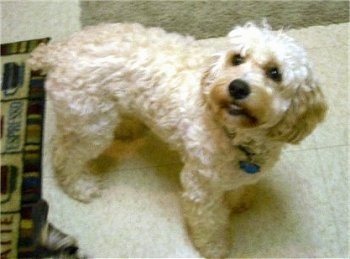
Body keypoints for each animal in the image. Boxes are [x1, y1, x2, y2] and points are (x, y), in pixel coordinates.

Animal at [28, 21, 326, 258]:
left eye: (274, 73)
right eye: (237, 59)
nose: (237, 87)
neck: (233, 134)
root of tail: (61, 49)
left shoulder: (240, 173)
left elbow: (238, 188)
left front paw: (238, 201)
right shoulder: (201, 188)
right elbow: (209, 222)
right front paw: (214, 248)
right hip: (91, 126)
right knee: (64, 154)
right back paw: (80, 186)